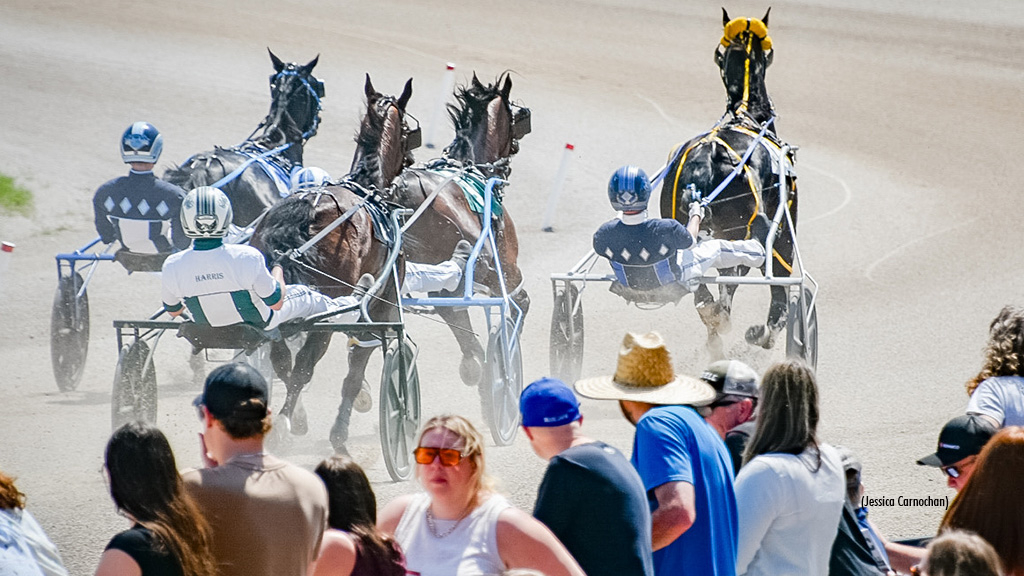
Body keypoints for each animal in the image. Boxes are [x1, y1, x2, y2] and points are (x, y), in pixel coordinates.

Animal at [249, 73, 413, 450]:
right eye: (407, 131)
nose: (411, 159)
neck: (367, 187)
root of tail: (306, 210)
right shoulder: (380, 306)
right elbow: (355, 368)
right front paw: (341, 431)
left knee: (283, 359)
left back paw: (290, 417)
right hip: (326, 313)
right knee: (302, 367)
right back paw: (284, 422)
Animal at [659, 8, 794, 354]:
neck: (748, 116)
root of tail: (710, 153)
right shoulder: (782, 231)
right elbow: (774, 288)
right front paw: (761, 333)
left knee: (701, 285)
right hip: (746, 230)